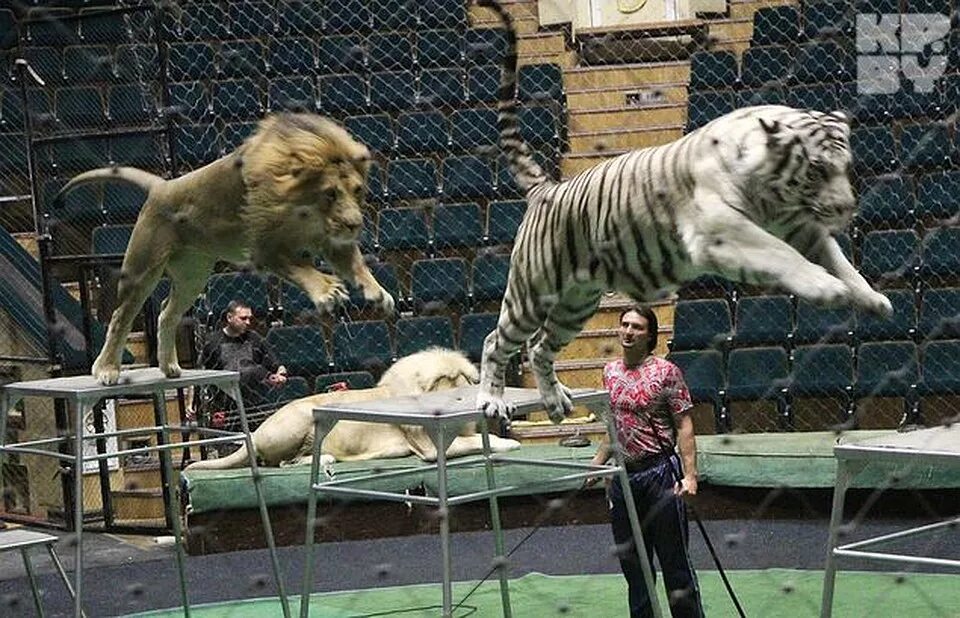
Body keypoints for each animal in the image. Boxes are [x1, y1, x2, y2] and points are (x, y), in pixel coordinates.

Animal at [55, 112, 394, 380]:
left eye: (357, 190)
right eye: (330, 193)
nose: (355, 225)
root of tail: (162, 185)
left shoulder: (333, 240)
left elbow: (356, 264)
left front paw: (379, 294)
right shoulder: (264, 246)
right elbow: (302, 268)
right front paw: (326, 290)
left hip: (192, 276)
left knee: (166, 312)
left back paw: (170, 367)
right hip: (142, 268)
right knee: (120, 316)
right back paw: (106, 369)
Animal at [184, 346, 520, 466]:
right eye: (453, 384)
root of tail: (254, 435)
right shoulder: (429, 447)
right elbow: (480, 440)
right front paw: (510, 443)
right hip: (299, 420)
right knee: (281, 463)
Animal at [476, 0, 896, 422]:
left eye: (846, 166)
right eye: (817, 168)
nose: (845, 207)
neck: (776, 194)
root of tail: (546, 189)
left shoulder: (803, 229)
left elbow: (842, 262)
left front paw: (871, 298)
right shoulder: (722, 232)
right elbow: (782, 254)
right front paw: (825, 287)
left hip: (575, 303)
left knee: (539, 347)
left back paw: (556, 400)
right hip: (532, 293)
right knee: (496, 340)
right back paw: (492, 400)